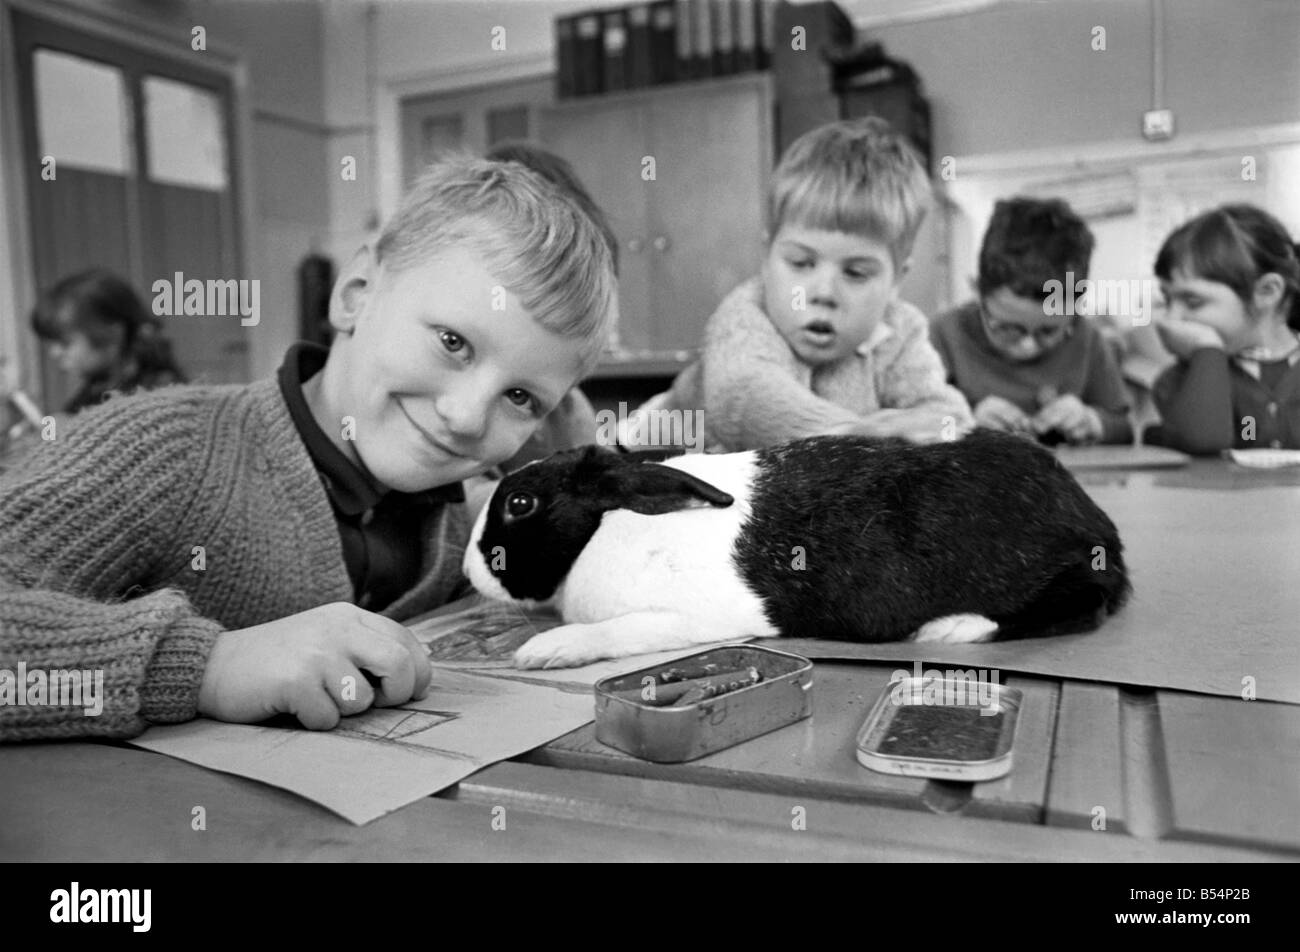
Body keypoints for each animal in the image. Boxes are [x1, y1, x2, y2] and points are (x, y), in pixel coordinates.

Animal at [465, 431, 1128, 671]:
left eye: (520, 504)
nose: (470, 568)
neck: (605, 527)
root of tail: (1094, 524)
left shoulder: (684, 618)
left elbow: (611, 634)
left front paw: (543, 651)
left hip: (1058, 577)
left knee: (1079, 607)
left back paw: (951, 629)